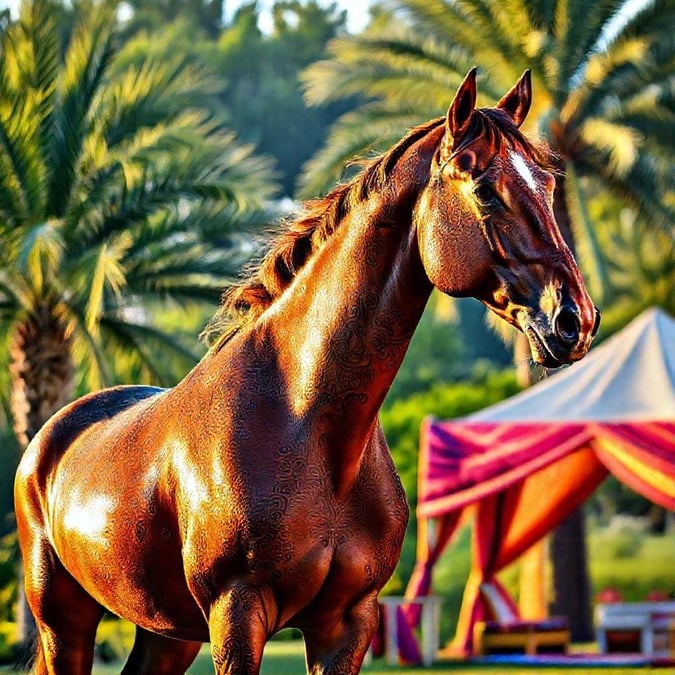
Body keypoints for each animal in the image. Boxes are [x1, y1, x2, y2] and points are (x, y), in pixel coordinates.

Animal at [14, 70, 596, 675]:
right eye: (484, 190)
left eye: (548, 185)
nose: (574, 320)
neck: (306, 425)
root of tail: (48, 440)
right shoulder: (237, 613)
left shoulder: (347, 621)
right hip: (64, 623)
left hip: (167, 632)